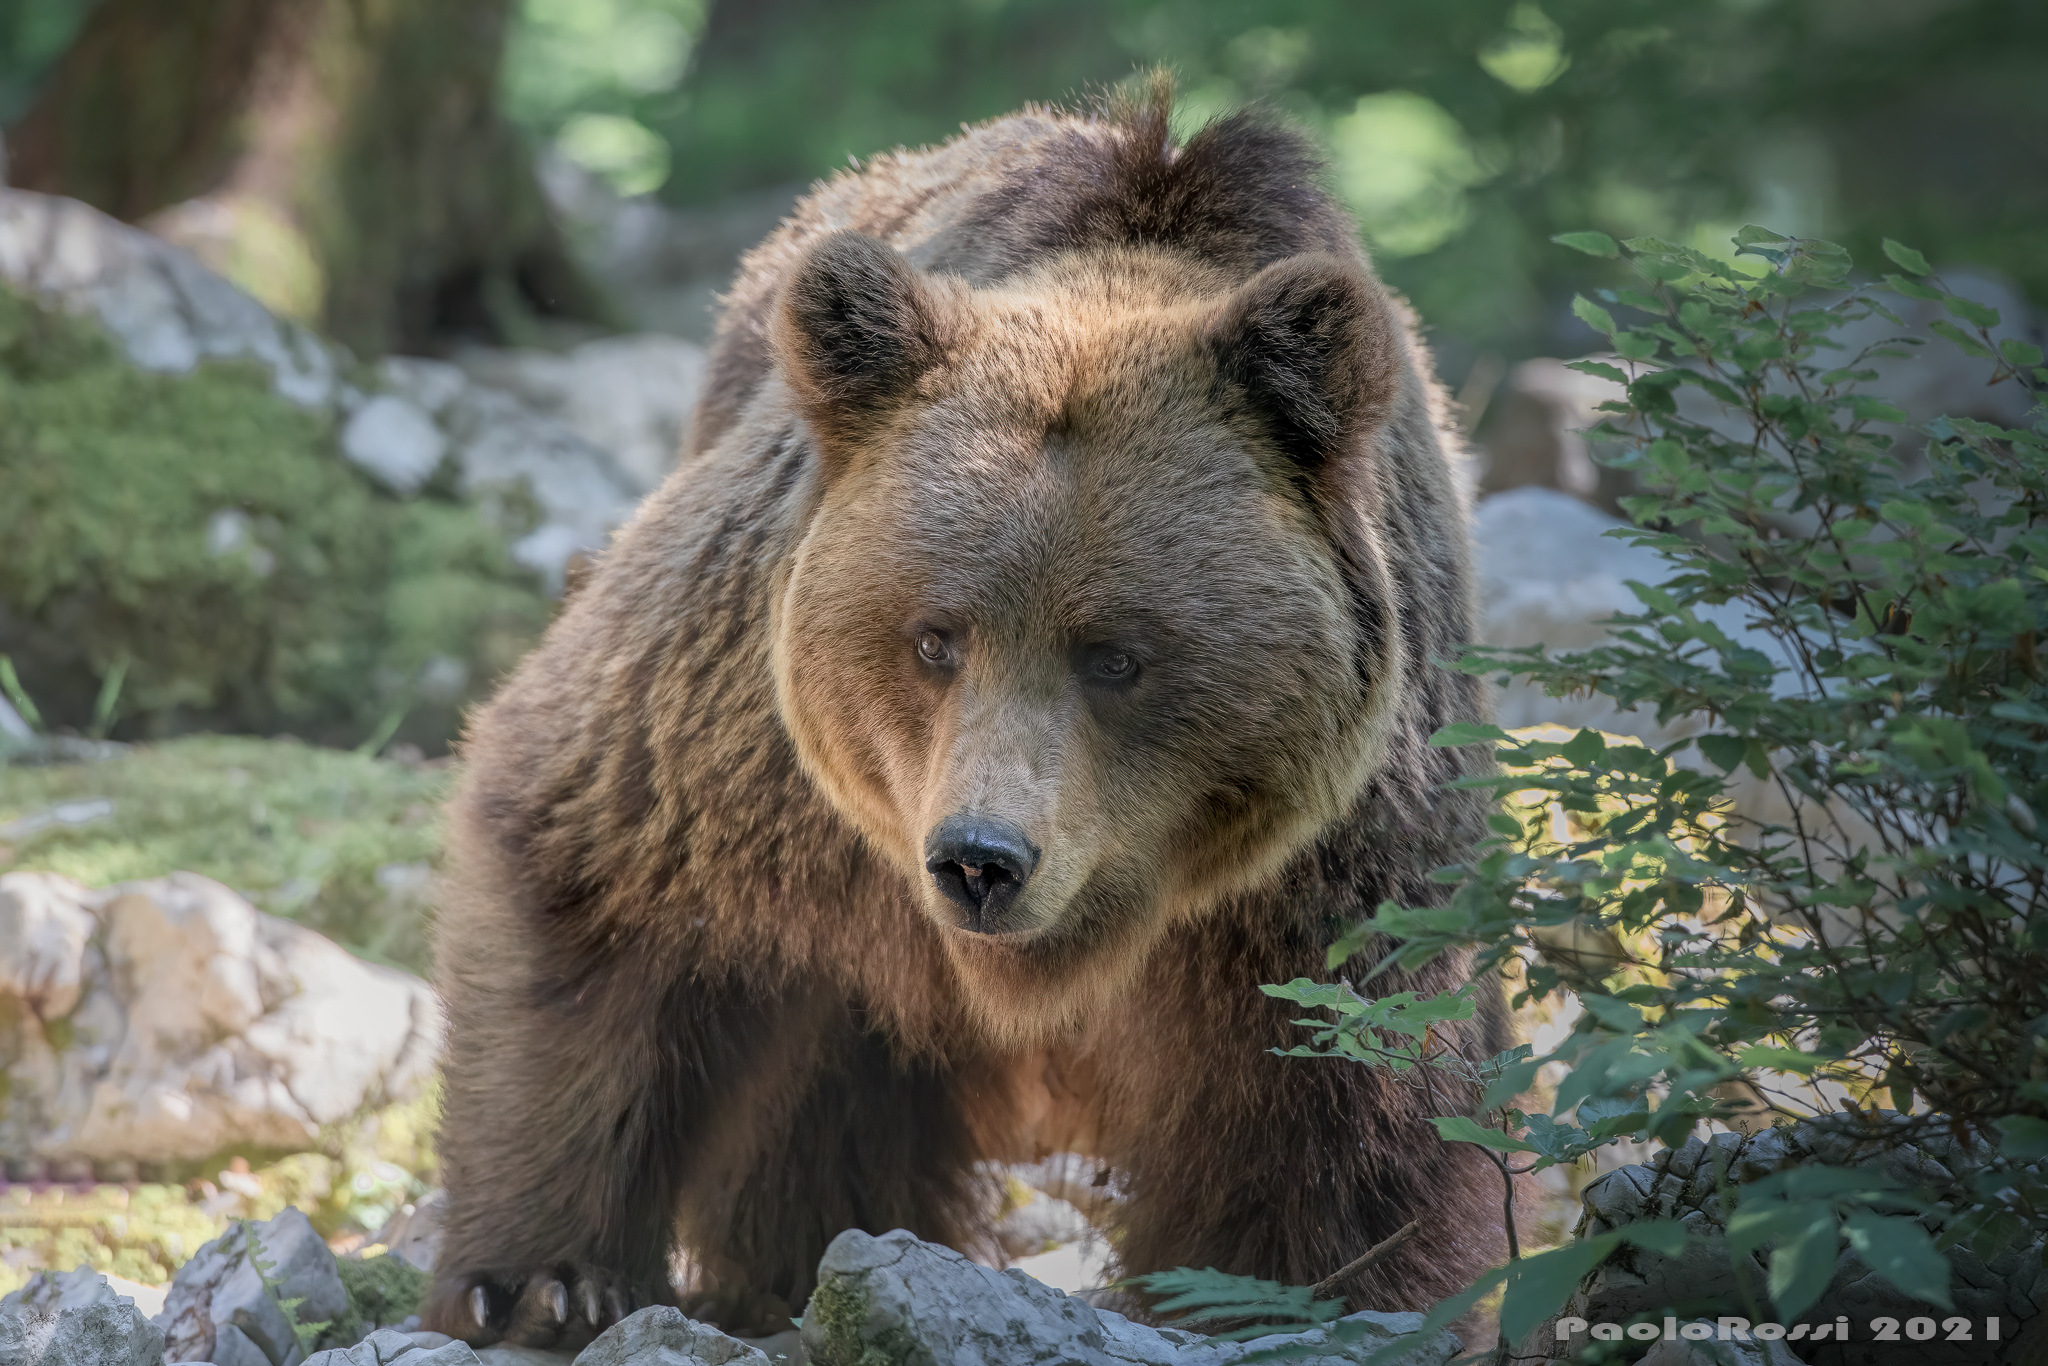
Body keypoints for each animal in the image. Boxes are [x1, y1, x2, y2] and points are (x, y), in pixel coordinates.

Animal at [424, 85, 1507, 1348]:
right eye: (934, 638)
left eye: (1116, 655)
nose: (981, 859)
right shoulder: (746, 729)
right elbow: (584, 864)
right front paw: (540, 1281)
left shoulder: (1321, 877)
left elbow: (1332, 1104)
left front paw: (1278, 1295)